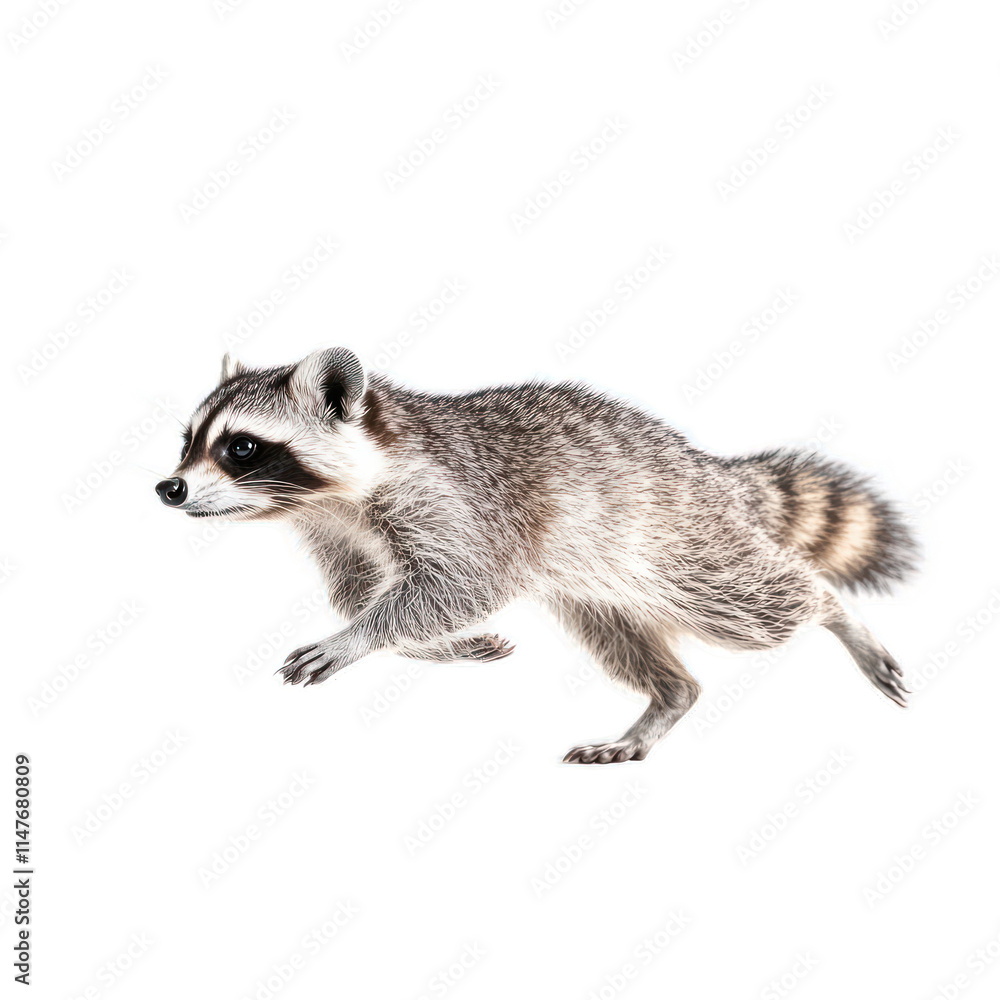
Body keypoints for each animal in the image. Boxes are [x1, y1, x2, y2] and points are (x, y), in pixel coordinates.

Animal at [156, 347, 916, 764]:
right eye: (188, 442)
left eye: (242, 447)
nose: (169, 488)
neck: (341, 496)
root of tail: (710, 469)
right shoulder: (335, 529)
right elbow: (360, 590)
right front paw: (439, 646)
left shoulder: (459, 501)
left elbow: (461, 583)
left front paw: (359, 639)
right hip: (599, 585)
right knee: (624, 639)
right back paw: (666, 698)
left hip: (680, 541)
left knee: (760, 603)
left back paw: (836, 613)